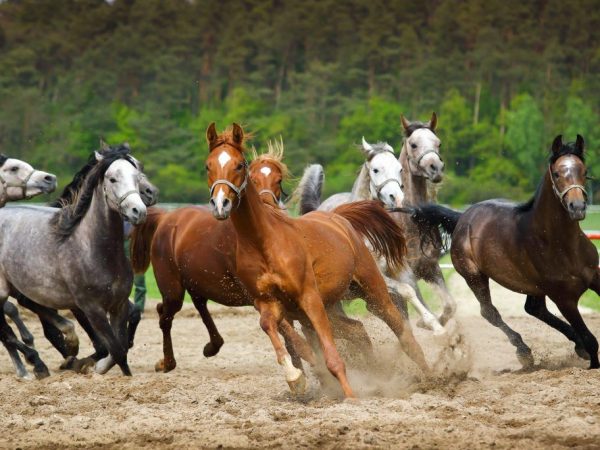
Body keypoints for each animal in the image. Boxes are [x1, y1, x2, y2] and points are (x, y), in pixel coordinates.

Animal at [130, 138, 314, 376]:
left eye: (278, 180)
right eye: (253, 178)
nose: (269, 205)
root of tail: (166, 218)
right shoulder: (256, 296)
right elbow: (288, 331)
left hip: (196, 281)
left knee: (199, 305)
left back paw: (212, 345)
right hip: (173, 291)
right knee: (165, 316)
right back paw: (167, 362)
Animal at [204, 122, 428, 398]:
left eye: (238, 165)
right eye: (208, 165)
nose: (220, 204)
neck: (263, 242)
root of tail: (339, 218)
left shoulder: (309, 298)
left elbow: (331, 356)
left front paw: (350, 396)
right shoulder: (269, 303)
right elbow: (271, 328)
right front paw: (295, 378)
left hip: (372, 291)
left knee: (401, 331)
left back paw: (432, 375)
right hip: (333, 304)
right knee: (357, 331)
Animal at [404, 135, 600, 370]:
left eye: (583, 170)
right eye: (557, 174)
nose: (577, 206)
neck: (563, 245)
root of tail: (462, 217)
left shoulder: (596, 277)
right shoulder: (564, 298)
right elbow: (591, 339)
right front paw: (592, 360)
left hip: (532, 285)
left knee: (534, 309)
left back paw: (574, 346)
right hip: (474, 276)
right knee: (490, 312)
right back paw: (524, 351)